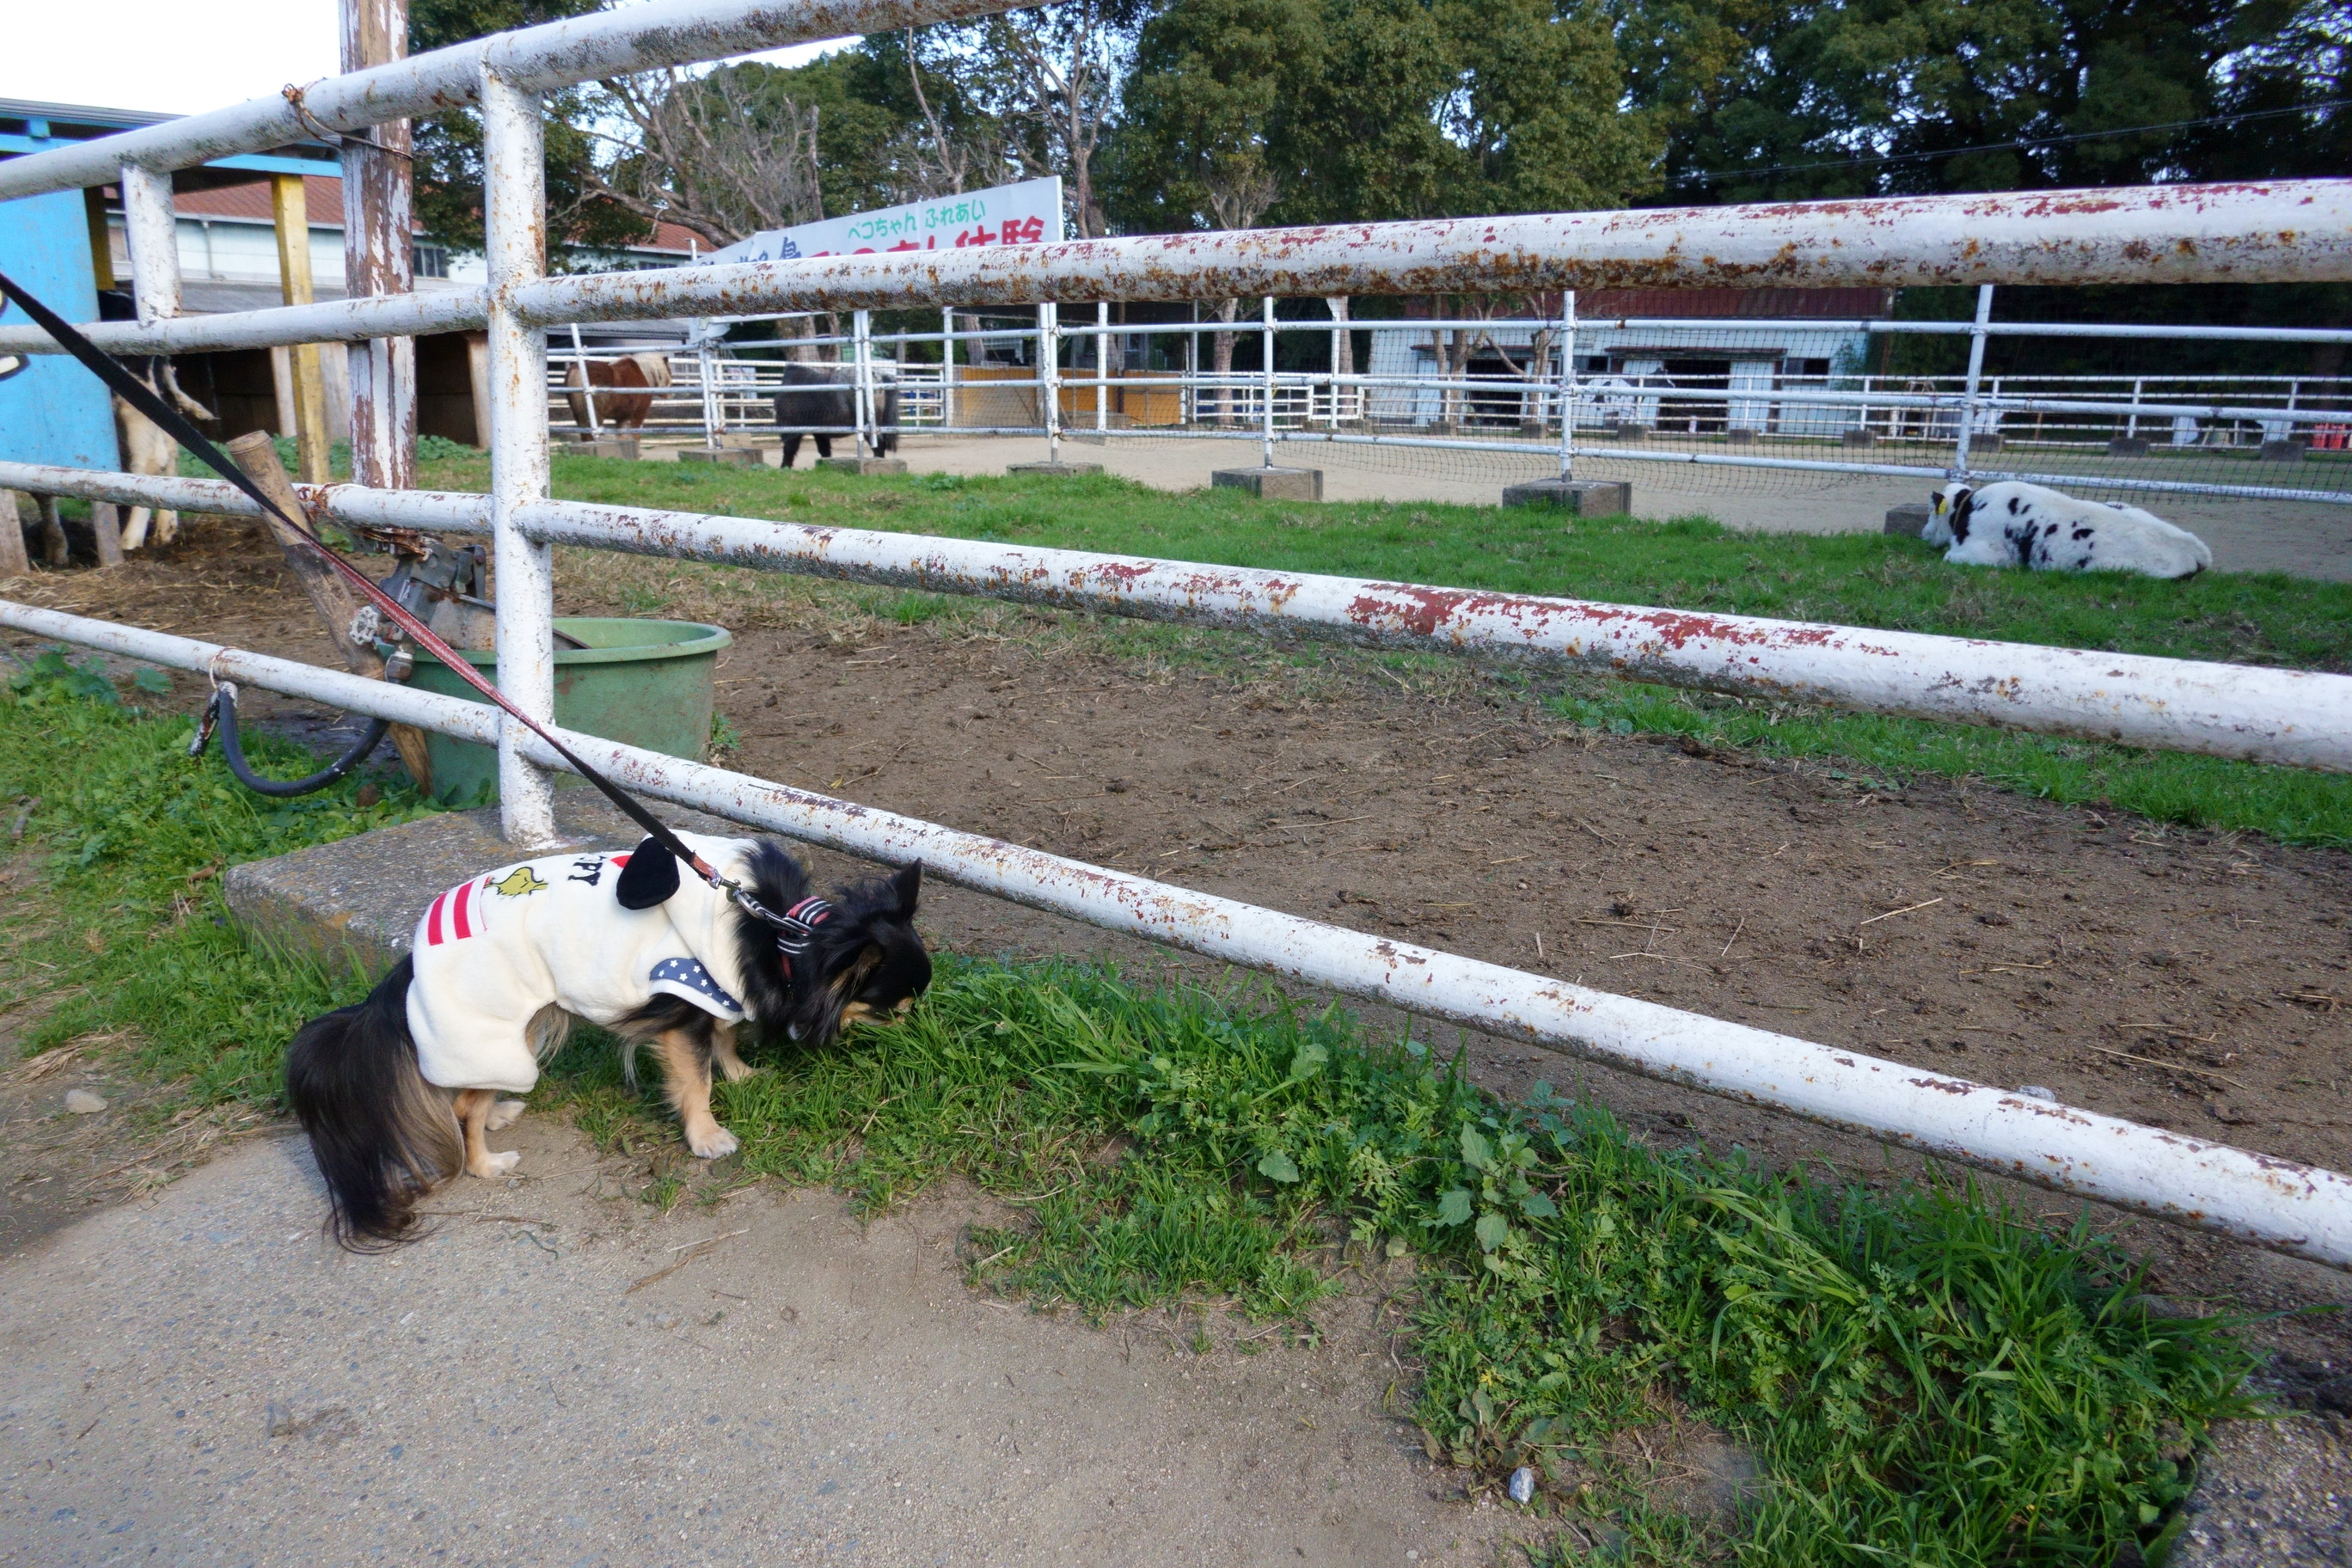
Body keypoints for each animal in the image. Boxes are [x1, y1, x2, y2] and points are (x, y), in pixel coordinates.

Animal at [285, 832, 926, 1250]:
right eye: (892, 1012)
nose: (921, 1037)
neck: (780, 930)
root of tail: (409, 965)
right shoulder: (683, 1007)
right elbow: (695, 1079)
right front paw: (707, 1136)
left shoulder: (719, 990)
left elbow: (724, 1037)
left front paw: (742, 1075)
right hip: (503, 1022)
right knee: (463, 1103)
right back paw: (486, 1162)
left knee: (462, 1090)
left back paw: (499, 1115)